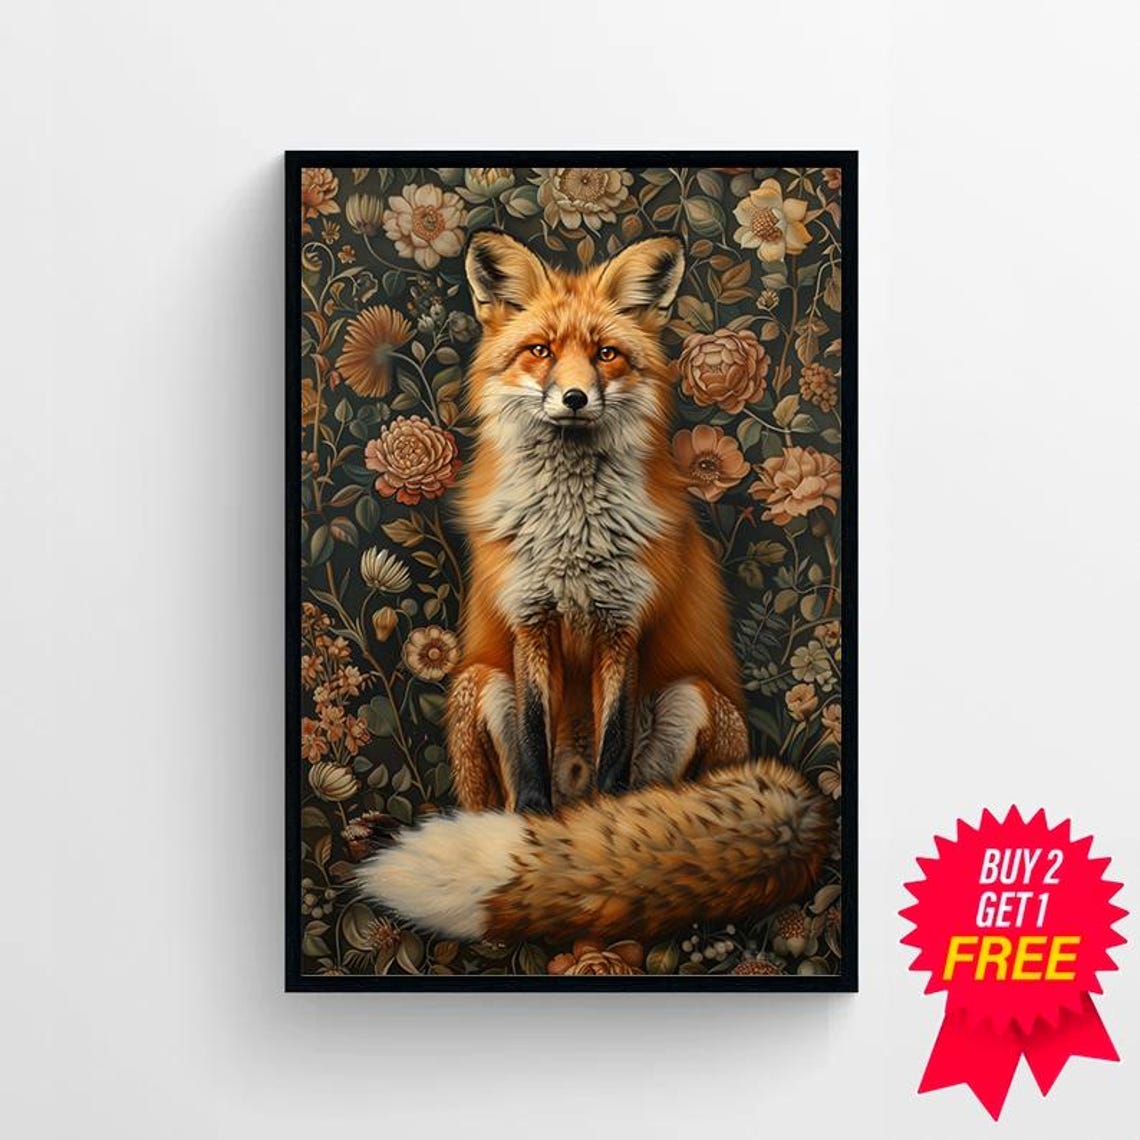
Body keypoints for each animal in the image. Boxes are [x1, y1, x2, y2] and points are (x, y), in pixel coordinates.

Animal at [356, 230, 833, 945]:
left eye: (607, 354)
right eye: (541, 351)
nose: (576, 398)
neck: (571, 534)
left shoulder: (621, 627)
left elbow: (614, 753)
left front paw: (596, 837)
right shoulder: (529, 622)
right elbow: (532, 745)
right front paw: (535, 826)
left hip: (693, 700)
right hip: (477, 684)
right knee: (496, 792)